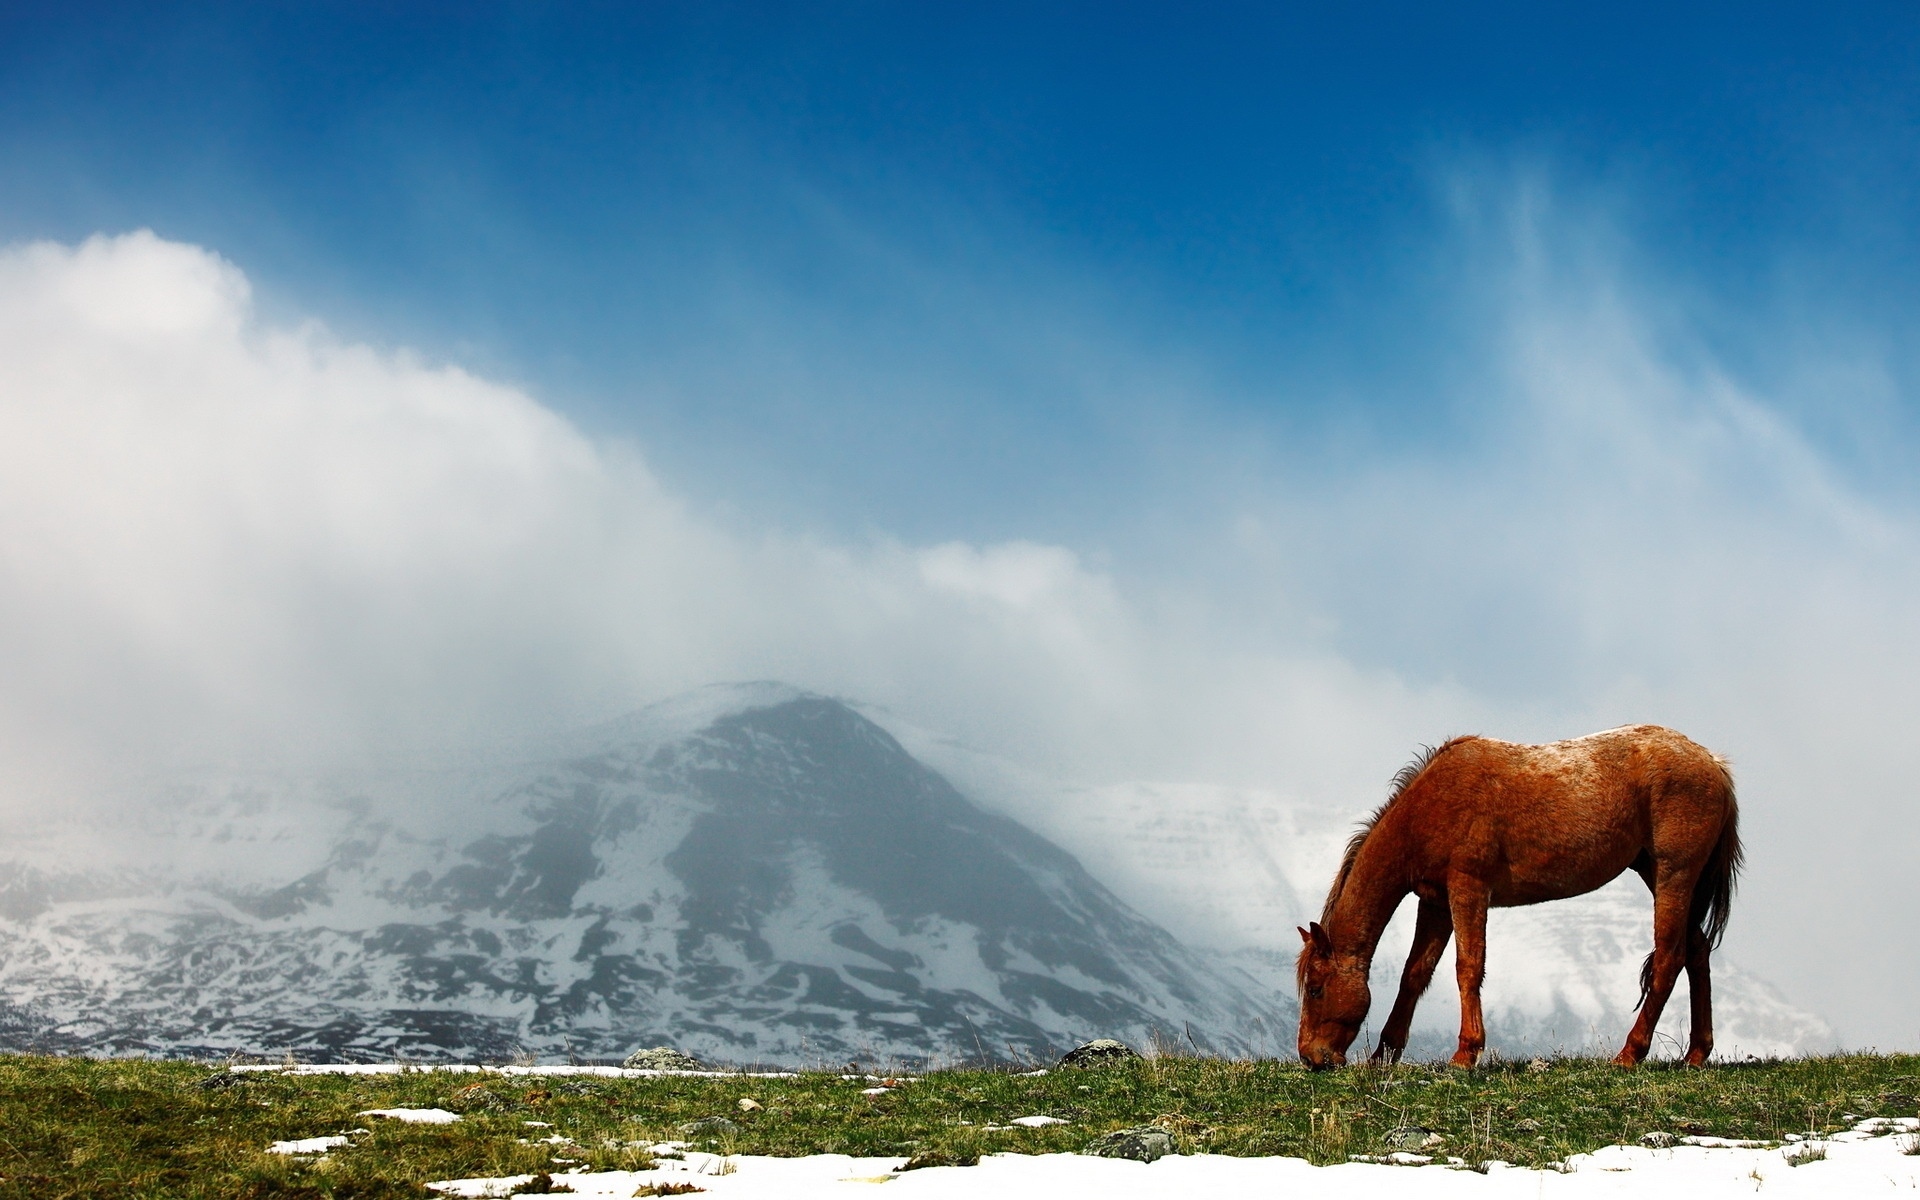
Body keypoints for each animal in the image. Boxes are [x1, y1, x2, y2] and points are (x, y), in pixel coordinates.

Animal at [1295, 724, 1741, 1069]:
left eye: (1315, 988)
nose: (1310, 1057)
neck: (1428, 808)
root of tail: (1713, 763)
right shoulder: (1435, 901)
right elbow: (1415, 974)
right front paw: (1384, 1055)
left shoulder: (1468, 889)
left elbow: (1467, 968)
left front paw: (1466, 1054)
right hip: (1656, 873)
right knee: (1697, 951)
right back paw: (1695, 1055)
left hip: (1673, 875)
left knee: (1669, 958)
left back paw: (1630, 1054)